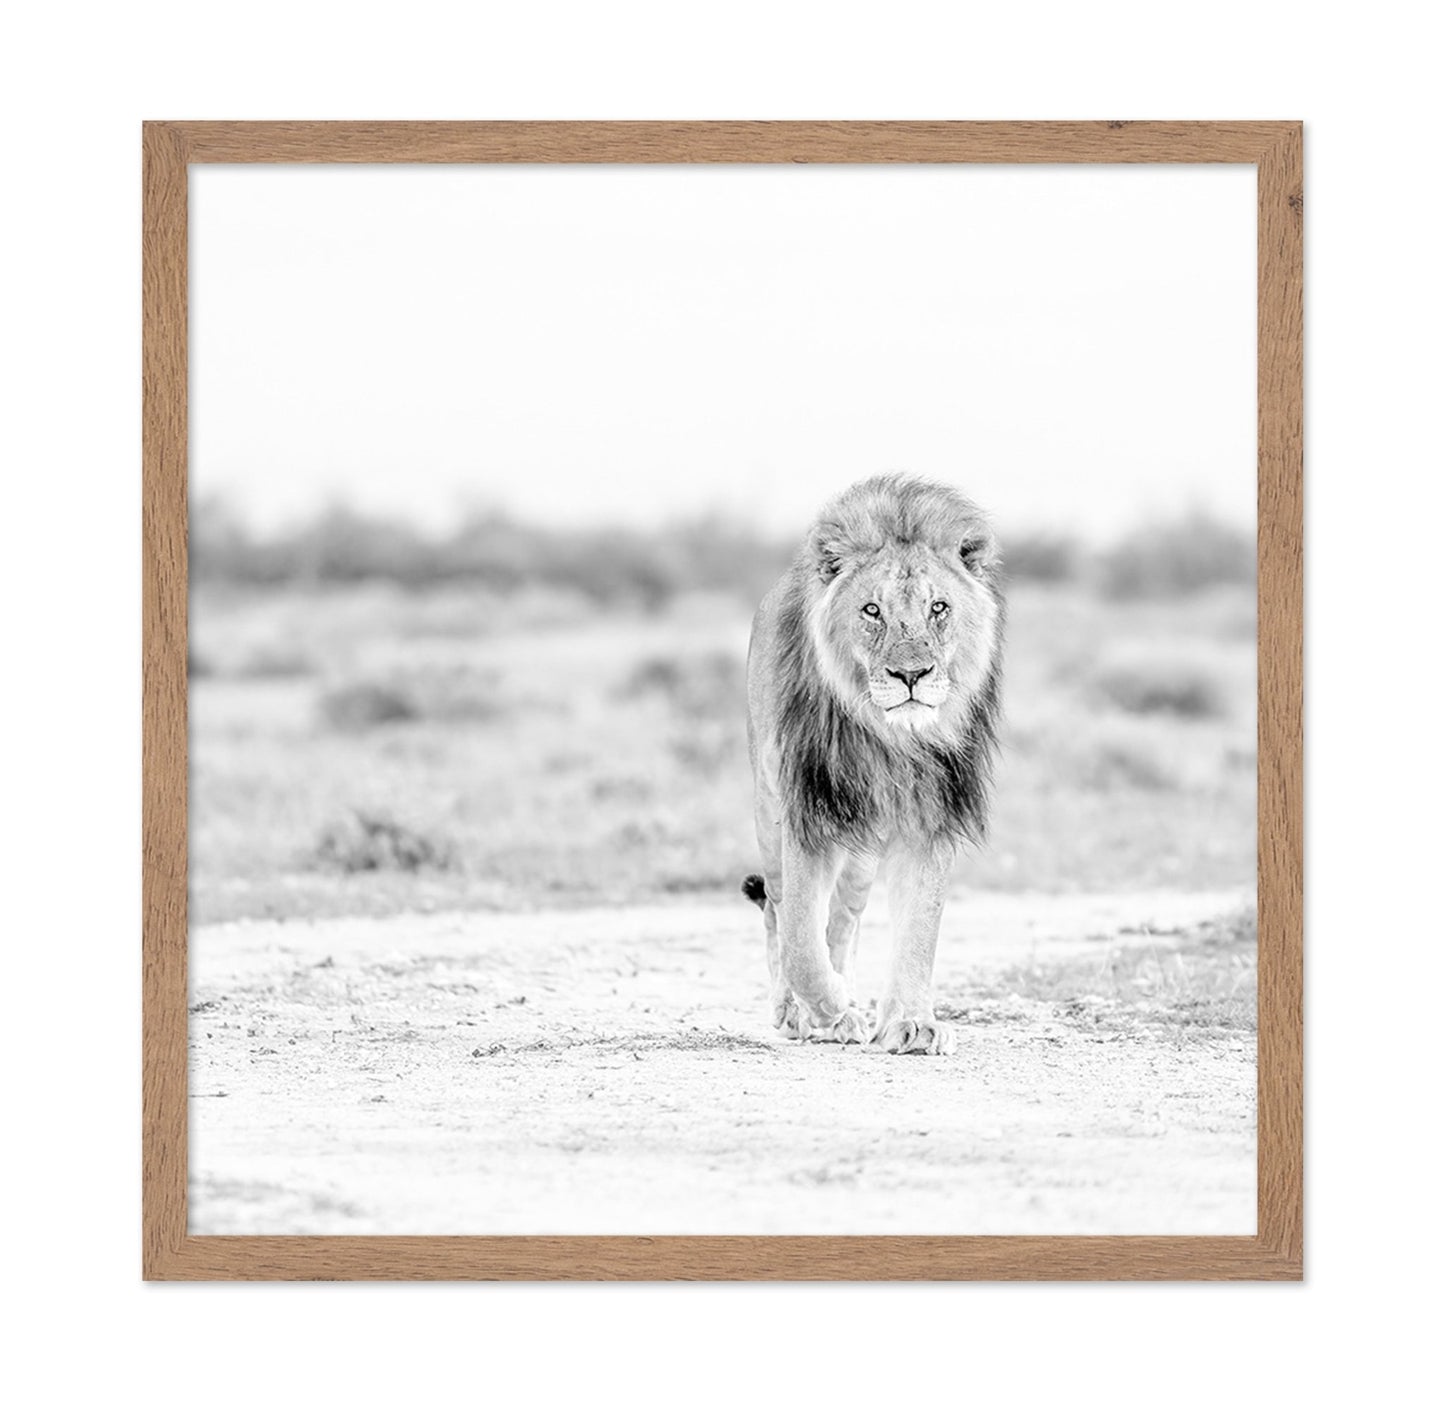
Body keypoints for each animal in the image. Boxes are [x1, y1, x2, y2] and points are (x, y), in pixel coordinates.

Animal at [742, 474, 1004, 1055]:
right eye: (871, 611)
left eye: (938, 607)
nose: (912, 675)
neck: (889, 740)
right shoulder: (808, 812)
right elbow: (800, 943)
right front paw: (828, 1010)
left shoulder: (930, 818)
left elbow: (919, 931)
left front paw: (911, 1022)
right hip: (770, 814)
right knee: (778, 908)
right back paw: (800, 1011)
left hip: (861, 852)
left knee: (843, 919)